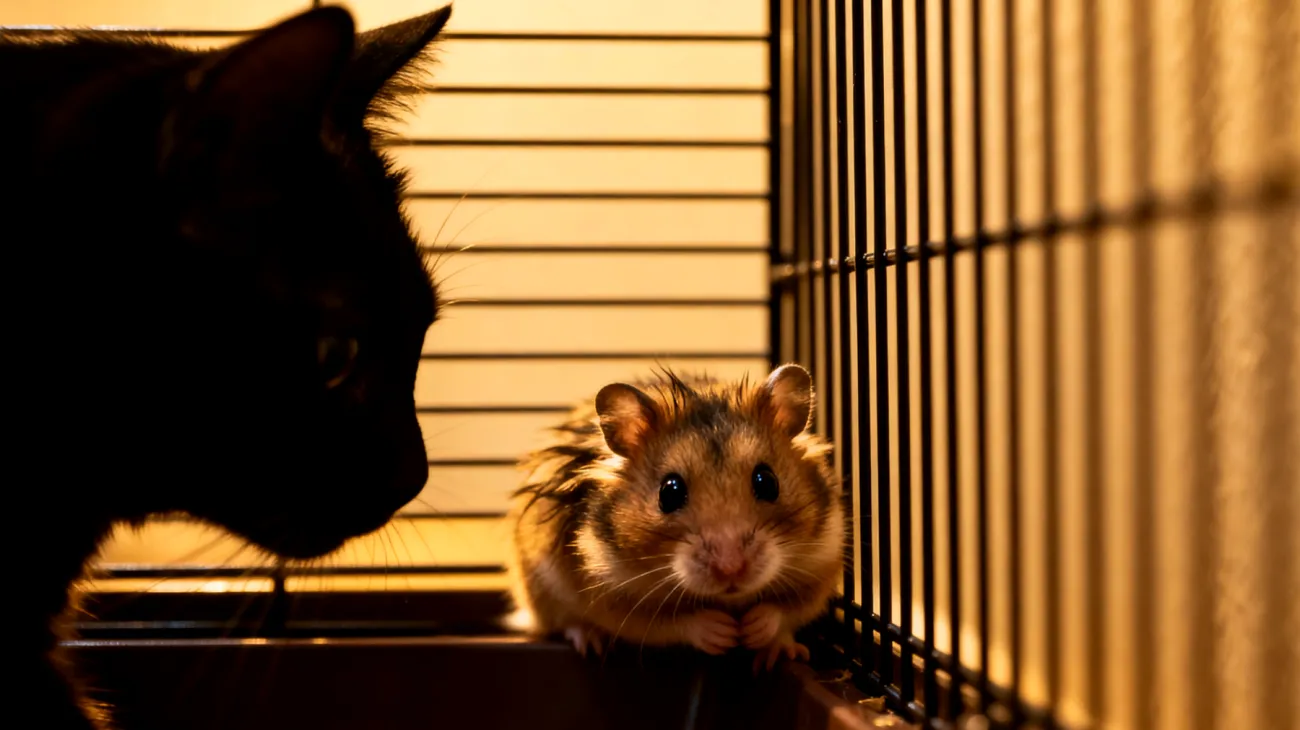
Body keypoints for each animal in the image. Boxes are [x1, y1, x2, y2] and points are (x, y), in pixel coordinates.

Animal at [506, 363, 845, 672]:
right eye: (669, 492)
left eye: (767, 481)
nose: (731, 570)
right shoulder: (608, 594)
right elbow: (668, 623)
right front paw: (724, 633)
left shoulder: (823, 563)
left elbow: (785, 612)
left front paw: (757, 634)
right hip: (539, 589)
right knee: (565, 622)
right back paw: (590, 642)